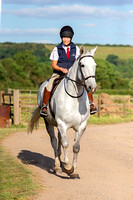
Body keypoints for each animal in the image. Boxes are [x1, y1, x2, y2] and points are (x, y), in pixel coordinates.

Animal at [28, 46, 97, 178]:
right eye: (82, 65)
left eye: (95, 65)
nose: (92, 87)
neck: (75, 98)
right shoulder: (62, 124)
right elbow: (65, 144)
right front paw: (69, 168)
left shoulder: (81, 126)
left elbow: (76, 147)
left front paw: (73, 170)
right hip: (49, 123)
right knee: (55, 142)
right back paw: (57, 166)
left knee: (59, 141)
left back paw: (61, 163)